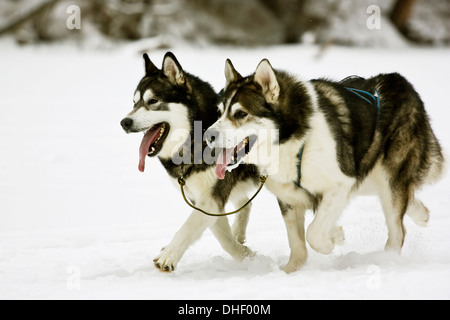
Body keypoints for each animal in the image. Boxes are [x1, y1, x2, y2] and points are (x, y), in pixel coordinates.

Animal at [121, 52, 258, 270]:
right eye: (134, 102)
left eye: (153, 101)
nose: (124, 122)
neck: (196, 138)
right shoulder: (203, 200)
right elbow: (224, 239)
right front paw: (245, 255)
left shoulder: (211, 199)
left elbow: (189, 227)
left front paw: (168, 256)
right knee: (245, 202)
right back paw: (239, 232)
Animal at [206, 59, 444, 272]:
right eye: (219, 113)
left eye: (241, 113)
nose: (208, 135)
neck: (295, 142)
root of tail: (399, 81)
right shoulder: (289, 198)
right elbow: (298, 245)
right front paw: (291, 270)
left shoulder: (341, 184)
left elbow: (313, 233)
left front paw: (330, 242)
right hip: (371, 177)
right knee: (406, 201)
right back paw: (421, 214)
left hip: (388, 178)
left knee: (397, 230)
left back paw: (387, 260)